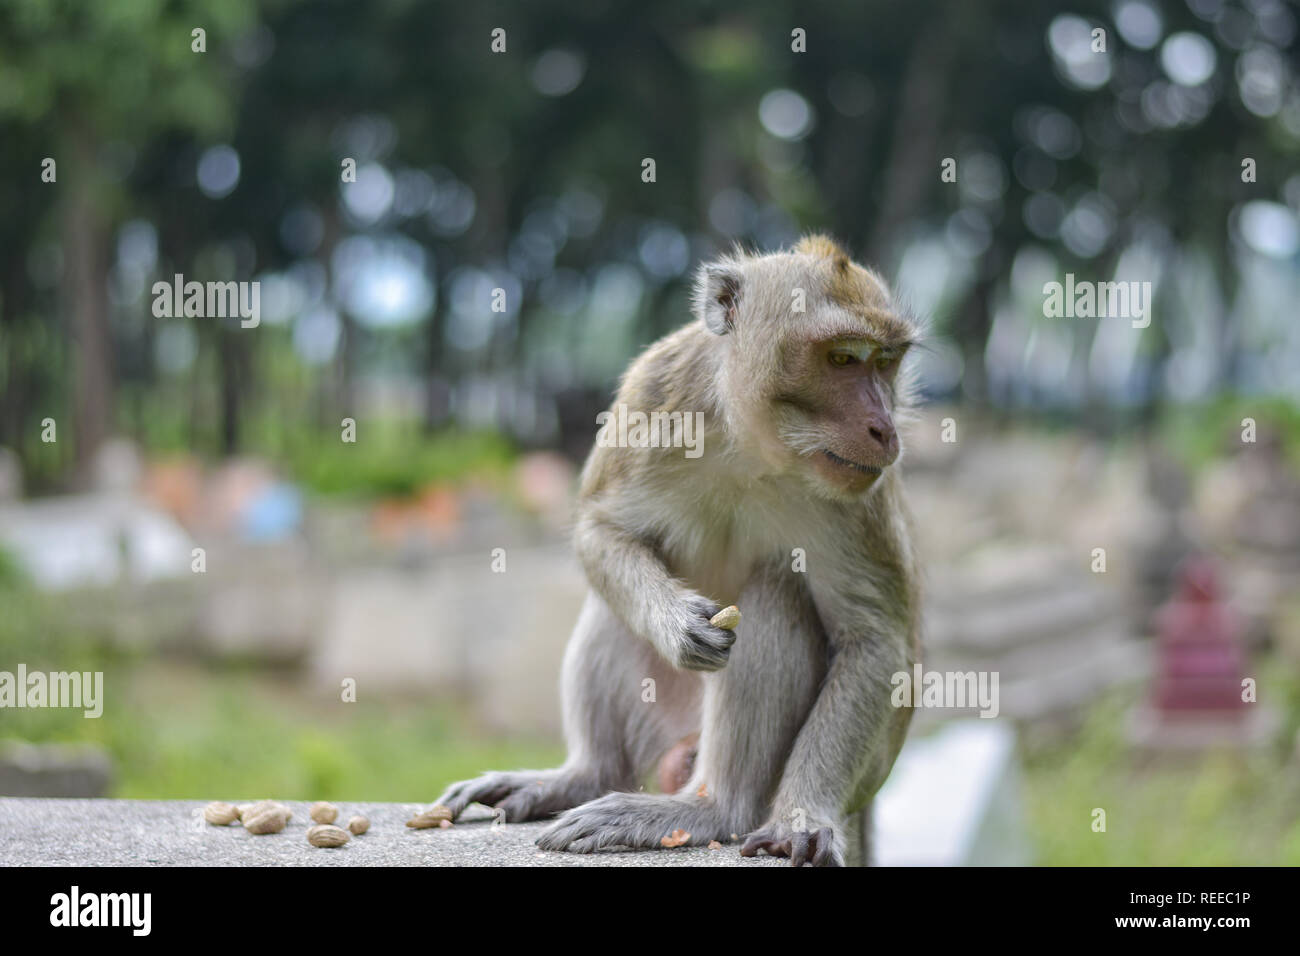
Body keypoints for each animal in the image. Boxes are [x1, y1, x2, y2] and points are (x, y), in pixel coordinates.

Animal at [439, 234, 925, 868]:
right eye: (842, 359)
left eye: (885, 361)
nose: (883, 428)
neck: (754, 446)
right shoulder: (655, 393)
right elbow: (601, 529)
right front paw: (676, 622)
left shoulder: (861, 498)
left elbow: (874, 640)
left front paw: (801, 817)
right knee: (610, 611)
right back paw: (581, 777)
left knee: (778, 590)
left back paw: (712, 808)